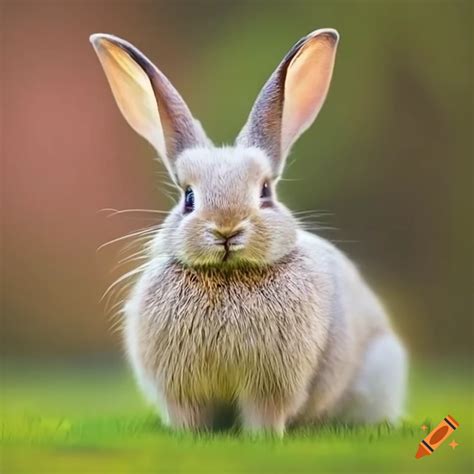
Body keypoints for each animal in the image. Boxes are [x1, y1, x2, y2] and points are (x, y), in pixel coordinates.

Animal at [90, 28, 408, 436]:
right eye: (188, 198)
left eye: (265, 192)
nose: (226, 229)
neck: (227, 277)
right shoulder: (180, 390)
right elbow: (188, 417)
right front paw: (190, 437)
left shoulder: (272, 386)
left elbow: (264, 414)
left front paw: (264, 438)